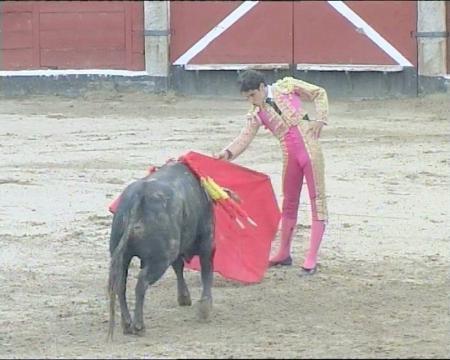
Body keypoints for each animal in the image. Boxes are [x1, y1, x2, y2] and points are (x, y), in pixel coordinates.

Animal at [108, 162, 214, 338]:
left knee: (120, 284)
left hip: (122, 256)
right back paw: (139, 326)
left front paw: (184, 298)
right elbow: (206, 272)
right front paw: (205, 309)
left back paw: (127, 324)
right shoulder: (208, 241)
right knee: (141, 283)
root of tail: (139, 195)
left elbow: (179, 267)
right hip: (161, 258)